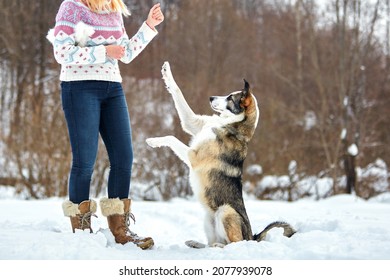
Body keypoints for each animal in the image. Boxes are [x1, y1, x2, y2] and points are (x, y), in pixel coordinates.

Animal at [147, 62, 296, 248]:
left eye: (230, 98)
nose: (211, 97)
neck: (229, 124)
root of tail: (252, 237)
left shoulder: (193, 156)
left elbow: (171, 138)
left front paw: (153, 141)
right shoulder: (192, 122)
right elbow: (177, 91)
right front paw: (166, 72)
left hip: (225, 211)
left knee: (234, 243)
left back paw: (218, 246)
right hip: (208, 217)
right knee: (211, 243)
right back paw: (196, 243)